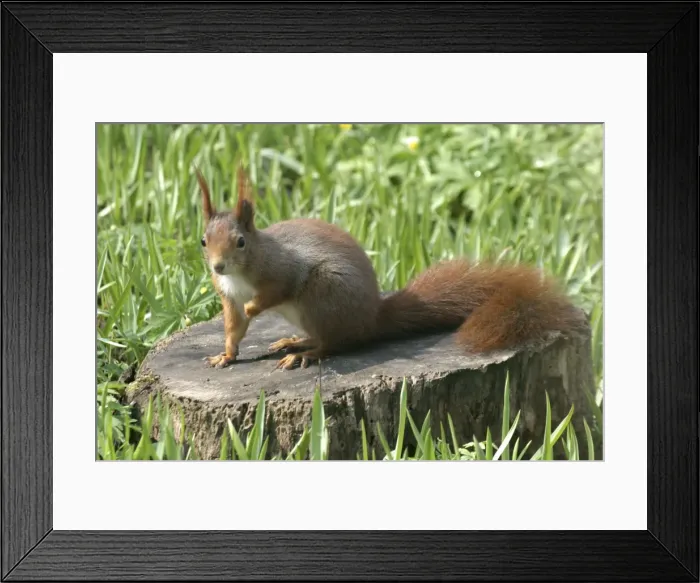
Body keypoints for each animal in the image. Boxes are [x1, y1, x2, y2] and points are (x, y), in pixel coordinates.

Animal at [195, 164, 588, 371]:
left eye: (240, 242)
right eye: (203, 241)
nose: (218, 266)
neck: (242, 273)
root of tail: (371, 318)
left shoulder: (282, 270)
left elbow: (275, 291)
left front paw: (254, 307)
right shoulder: (227, 296)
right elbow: (234, 328)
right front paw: (225, 356)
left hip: (324, 294)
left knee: (336, 343)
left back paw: (304, 354)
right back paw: (294, 340)